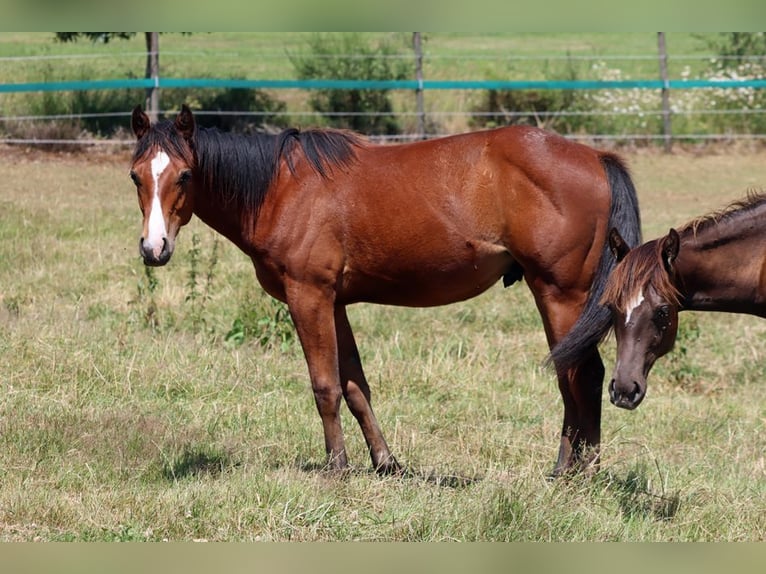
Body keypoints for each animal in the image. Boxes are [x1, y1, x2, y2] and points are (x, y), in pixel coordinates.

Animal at [128, 104, 641, 476]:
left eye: (185, 175)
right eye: (136, 176)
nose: (154, 248)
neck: (280, 188)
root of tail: (596, 158)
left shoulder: (308, 297)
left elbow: (325, 386)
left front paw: (337, 467)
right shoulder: (335, 303)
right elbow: (356, 387)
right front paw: (385, 462)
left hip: (559, 294)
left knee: (581, 376)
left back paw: (578, 471)